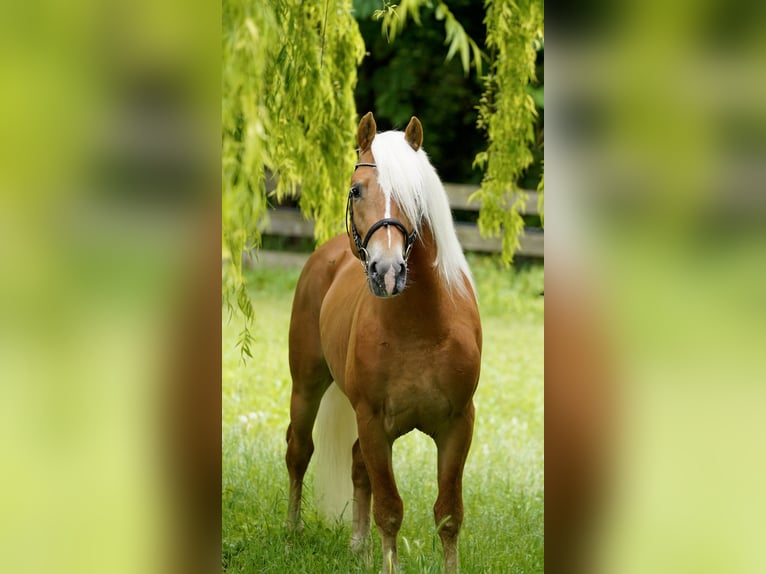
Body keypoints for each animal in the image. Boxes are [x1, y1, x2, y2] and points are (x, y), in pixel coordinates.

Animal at [285, 112, 482, 573]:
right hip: (306, 387)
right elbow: (390, 510)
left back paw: (358, 546)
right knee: (299, 451)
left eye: (415, 197)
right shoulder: (374, 422)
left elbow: (448, 513)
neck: (422, 327)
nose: (387, 271)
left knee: (358, 467)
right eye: (356, 190)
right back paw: (292, 531)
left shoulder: (458, 425)